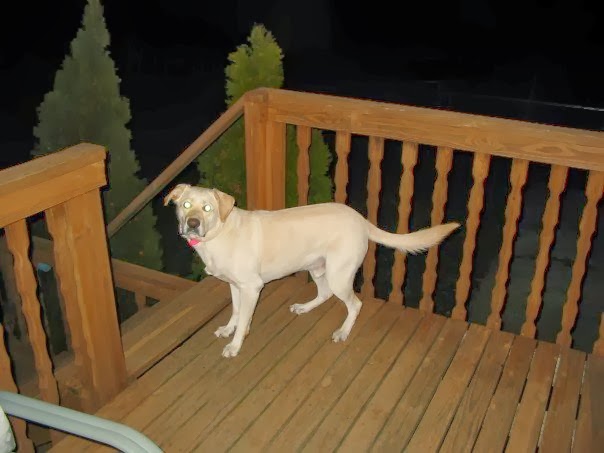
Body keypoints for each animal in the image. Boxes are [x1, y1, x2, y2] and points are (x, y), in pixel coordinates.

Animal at [164, 184, 459, 358]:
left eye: (207, 208)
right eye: (185, 205)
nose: (192, 224)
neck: (219, 233)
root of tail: (361, 219)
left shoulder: (251, 287)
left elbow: (244, 319)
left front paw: (235, 344)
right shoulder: (235, 286)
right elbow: (236, 313)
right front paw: (229, 329)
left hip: (339, 275)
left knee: (355, 304)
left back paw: (343, 332)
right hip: (318, 268)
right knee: (325, 294)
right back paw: (305, 308)